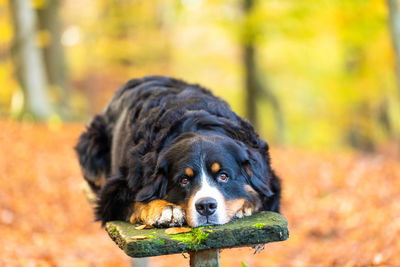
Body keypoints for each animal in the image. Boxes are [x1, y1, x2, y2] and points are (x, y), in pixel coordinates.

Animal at [75, 75, 282, 228]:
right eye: (184, 180)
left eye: (223, 176)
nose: (206, 206)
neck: (198, 125)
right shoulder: (114, 193)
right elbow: (136, 200)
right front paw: (166, 209)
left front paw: (242, 206)